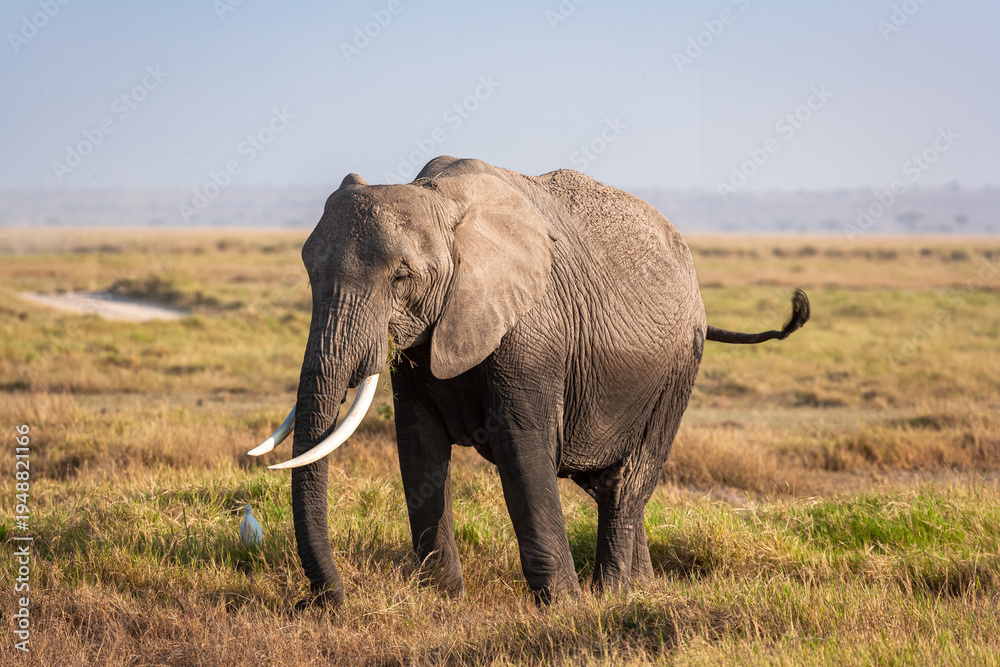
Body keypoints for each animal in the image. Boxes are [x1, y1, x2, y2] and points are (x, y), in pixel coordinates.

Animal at [248, 156, 809, 608]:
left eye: (402, 277)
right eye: (308, 272)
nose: (322, 601)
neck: (441, 199)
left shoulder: (532, 331)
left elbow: (524, 446)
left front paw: (563, 608)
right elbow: (419, 445)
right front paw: (443, 599)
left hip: (677, 368)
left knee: (627, 483)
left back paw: (611, 594)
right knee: (608, 485)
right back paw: (641, 589)